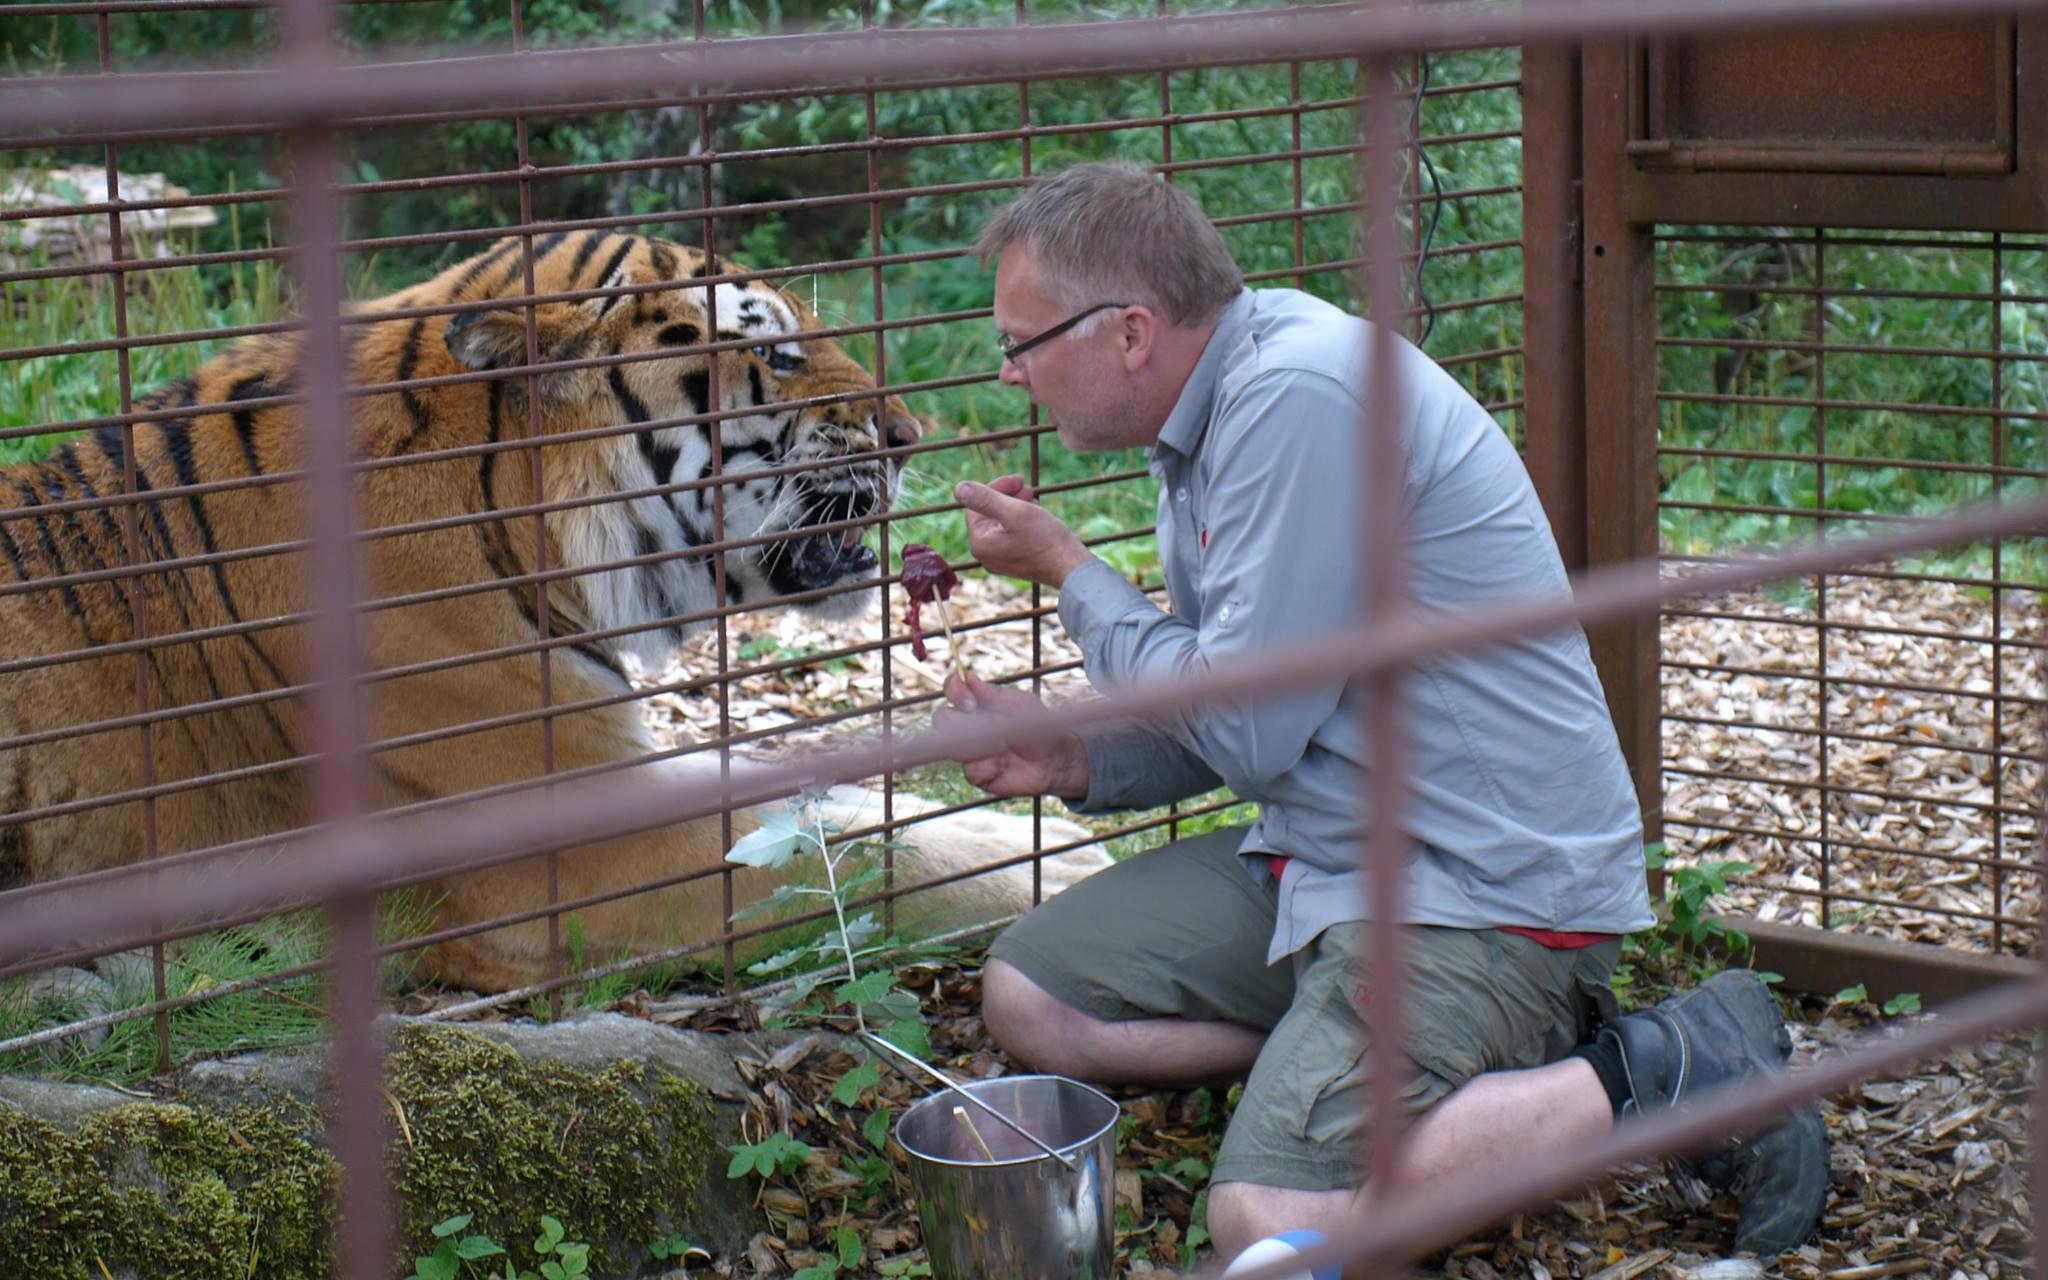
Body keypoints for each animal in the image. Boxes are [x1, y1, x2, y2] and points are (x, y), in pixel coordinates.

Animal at [0, 232, 1105, 987]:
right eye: (777, 356)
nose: (913, 434)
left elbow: (825, 800)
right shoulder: (583, 849)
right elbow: (856, 856)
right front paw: (1054, 867)